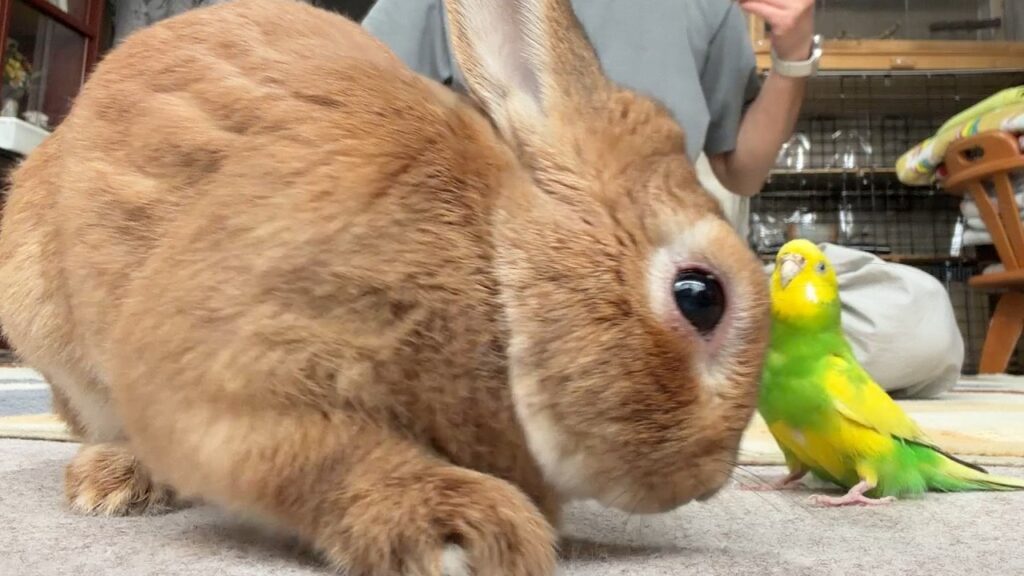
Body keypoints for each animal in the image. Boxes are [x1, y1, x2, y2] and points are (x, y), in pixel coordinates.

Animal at [0, 0, 771, 574]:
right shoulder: (225, 368)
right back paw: (114, 484)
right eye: (700, 296)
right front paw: (463, 530)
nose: (710, 479)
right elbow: (320, 455)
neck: (497, 271)